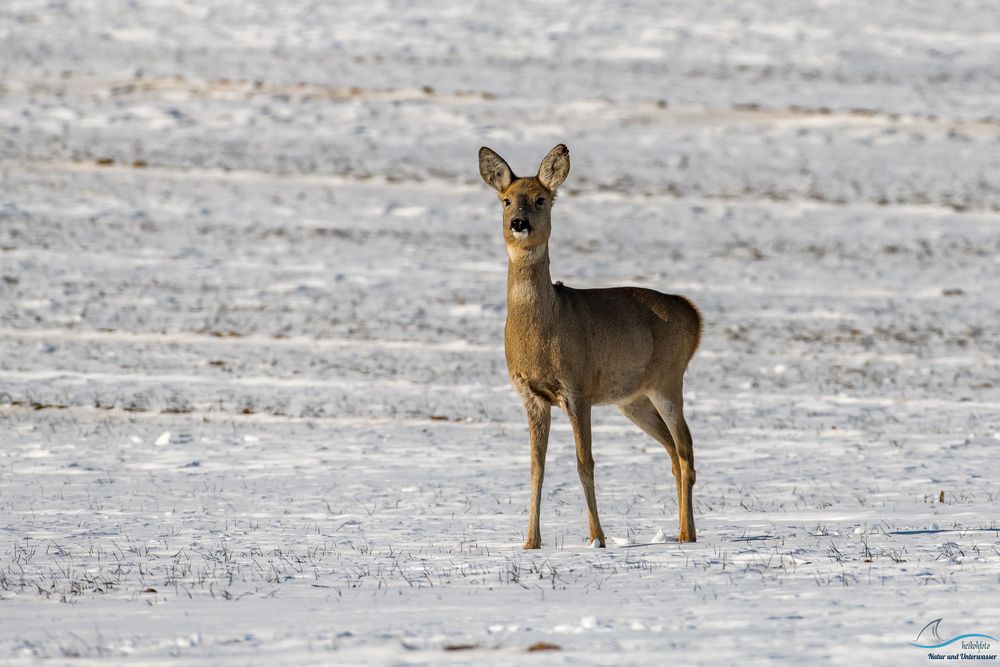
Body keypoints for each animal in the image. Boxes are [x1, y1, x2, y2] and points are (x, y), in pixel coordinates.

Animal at [478, 145, 704, 548]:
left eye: (540, 199)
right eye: (506, 200)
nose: (519, 223)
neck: (545, 327)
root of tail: (693, 315)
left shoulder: (577, 388)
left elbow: (585, 463)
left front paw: (597, 538)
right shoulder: (531, 396)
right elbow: (536, 467)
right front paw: (530, 542)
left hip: (668, 380)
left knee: (686, 450)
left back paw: (686, 535)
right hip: (632, 399)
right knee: (672, 452)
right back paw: (681, 532)